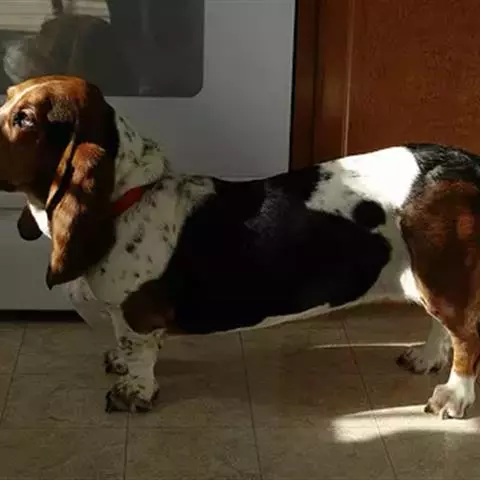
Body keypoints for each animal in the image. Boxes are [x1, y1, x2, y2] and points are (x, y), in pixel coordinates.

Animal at [0, 75, 475, 418]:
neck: (127, 197)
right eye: (7, 99)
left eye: (25, 119)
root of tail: (467, 163)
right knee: (443, 326)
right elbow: (128, 347)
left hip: (440, 274)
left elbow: (139, 354)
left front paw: (132, 391)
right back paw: (426, 358)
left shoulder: (136, 315)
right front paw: (119, 361)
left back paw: (452, 397)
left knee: (466, 336)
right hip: (430, 275)